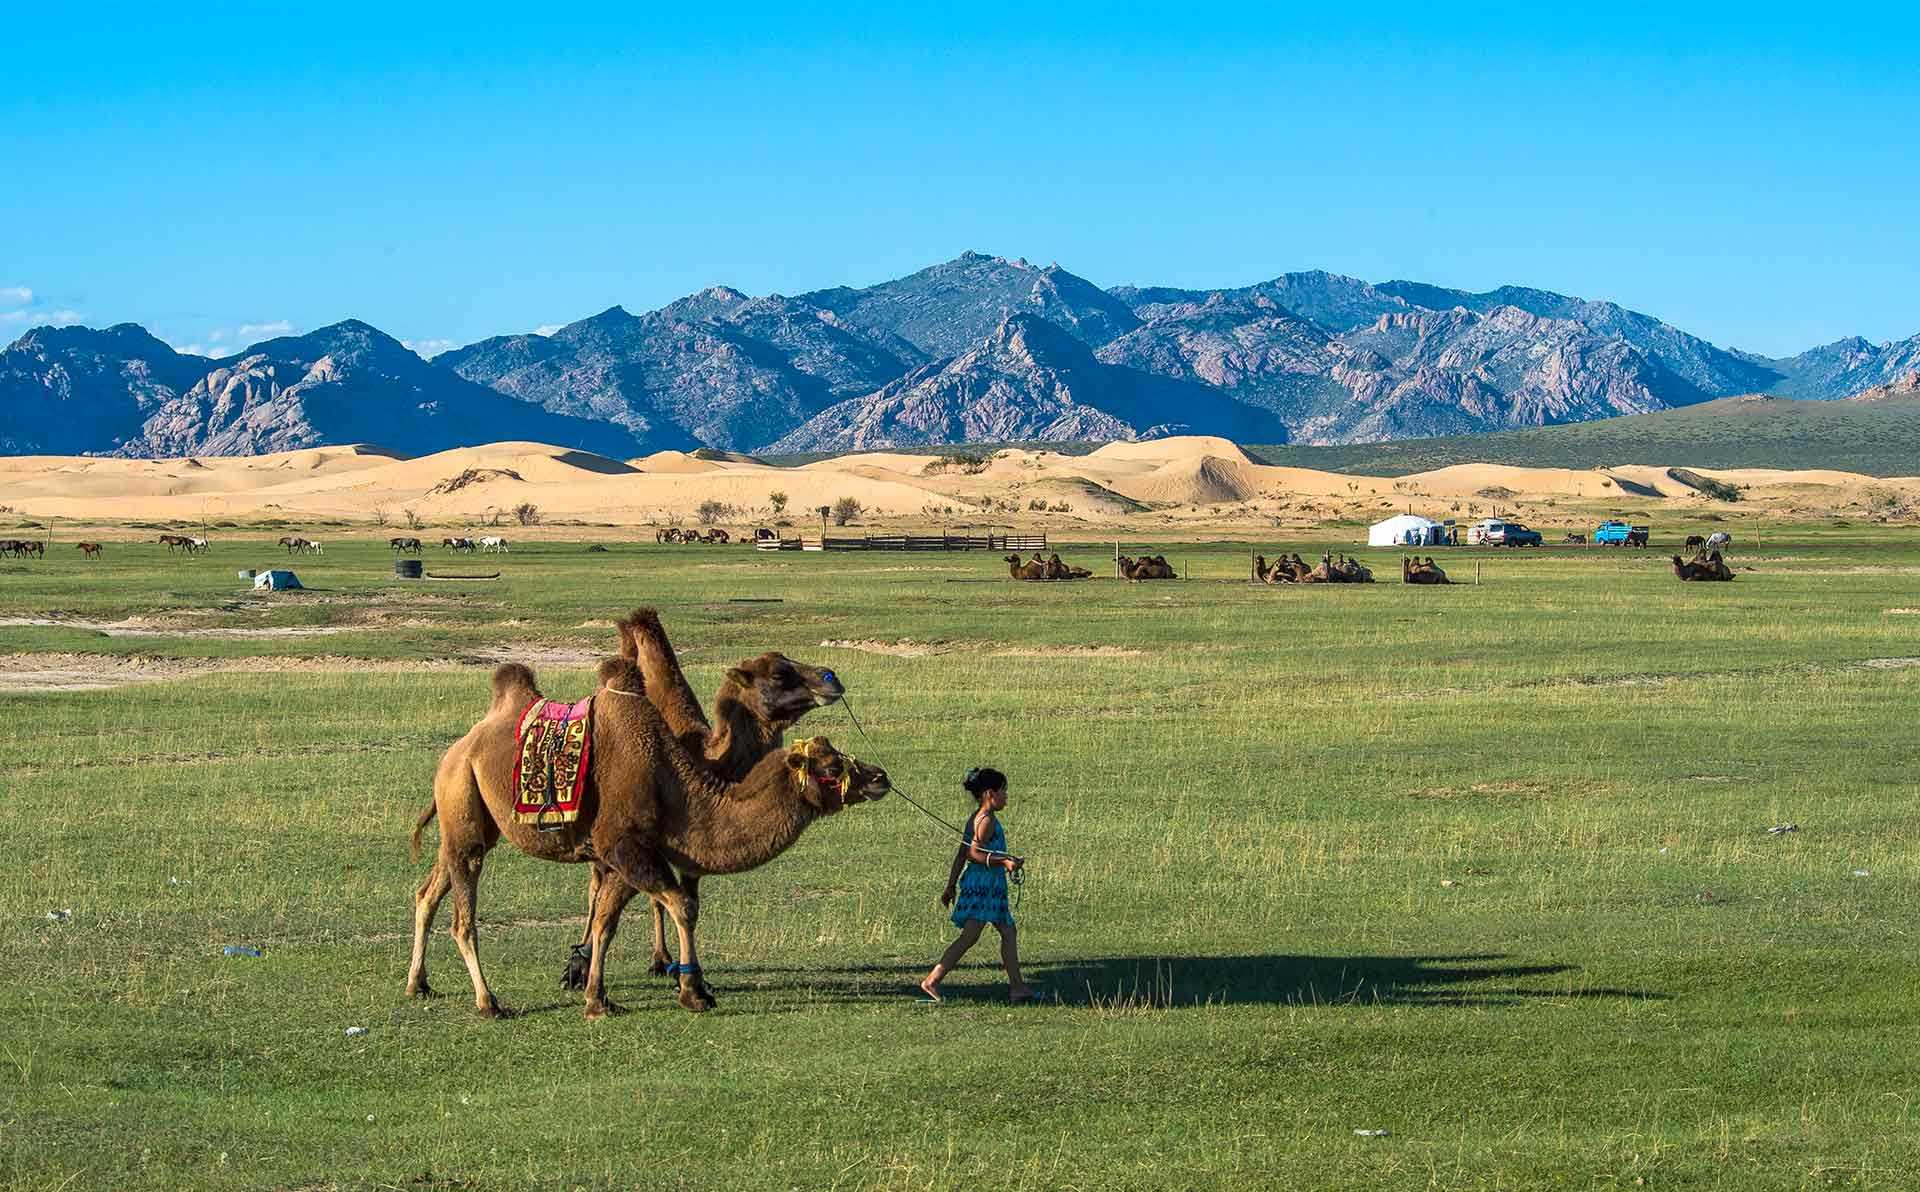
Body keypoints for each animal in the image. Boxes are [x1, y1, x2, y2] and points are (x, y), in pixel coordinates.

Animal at [408, 656, 887, 1021]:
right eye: (831, 767)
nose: (880, 776)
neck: (674, 776)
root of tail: (457, 749)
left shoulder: (628, 854)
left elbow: (608, 921)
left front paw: (596, 996)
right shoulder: (623, 845)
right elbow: (682, 904)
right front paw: (692, 990)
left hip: (469, 819)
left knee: (428, 890)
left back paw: (418, 984)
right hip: (463, 806)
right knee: (462, 917)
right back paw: (488, 1002)